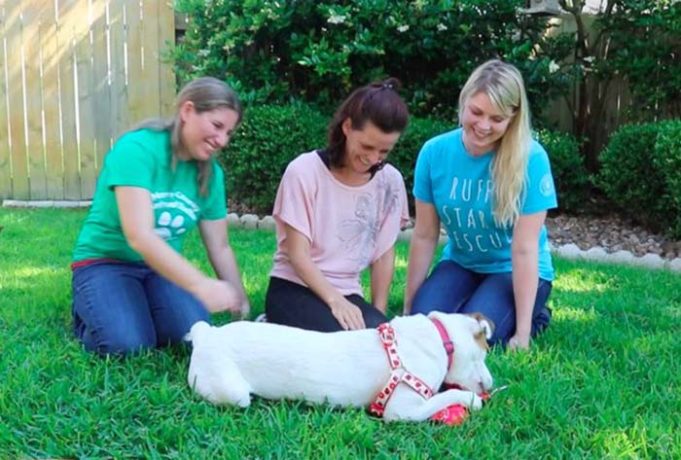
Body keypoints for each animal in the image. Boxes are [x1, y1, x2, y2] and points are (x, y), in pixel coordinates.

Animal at [186, 310, 494, 422]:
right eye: (483, 356)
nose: (491, 385)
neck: (442, 338)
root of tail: (206, 335)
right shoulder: (402, 410)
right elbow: (446, 394)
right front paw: (472, 400)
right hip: (234, 393)